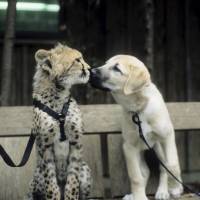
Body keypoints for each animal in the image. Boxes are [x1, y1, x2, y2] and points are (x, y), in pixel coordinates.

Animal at [90, 54, 184, 200]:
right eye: (105, 64)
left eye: (117, 68)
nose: (91, 71)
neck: (139, 109)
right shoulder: (129, 147)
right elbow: (135, 177)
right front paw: (138, 196)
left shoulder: (167, 136)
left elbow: (172, 165)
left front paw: (175, 188)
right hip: (138, 152)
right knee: (145, 172)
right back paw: (132, 195)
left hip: (158, 148)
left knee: (163, 167)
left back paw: (163, 191)